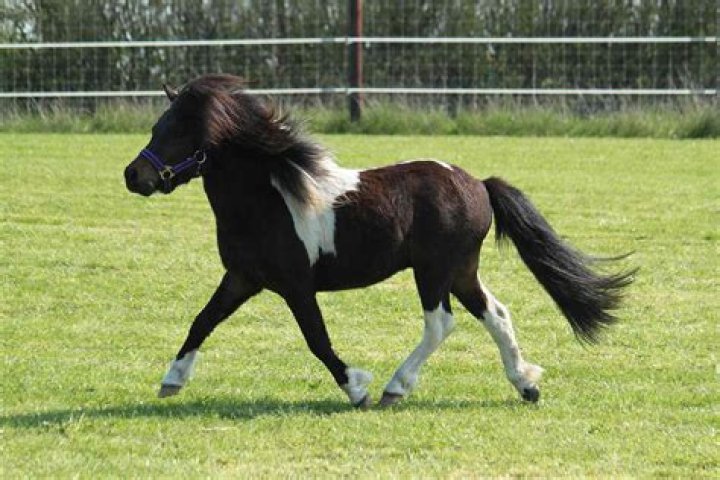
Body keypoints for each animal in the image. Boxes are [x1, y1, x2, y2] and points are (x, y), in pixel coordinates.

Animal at [123, 74, 634, 408]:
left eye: (179, 132)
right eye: (155, 128)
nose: (134, 175)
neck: (267, 199)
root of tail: (478, 184)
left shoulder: (294, 285)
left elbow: (317, 339)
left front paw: (357, 388)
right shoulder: (242, 278)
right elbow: (202, 321)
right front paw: (172, 380)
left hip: (433, 270)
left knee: (440, 324)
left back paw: (395, 387)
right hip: (461, 270)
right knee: (497, 314)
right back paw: (526, 385)